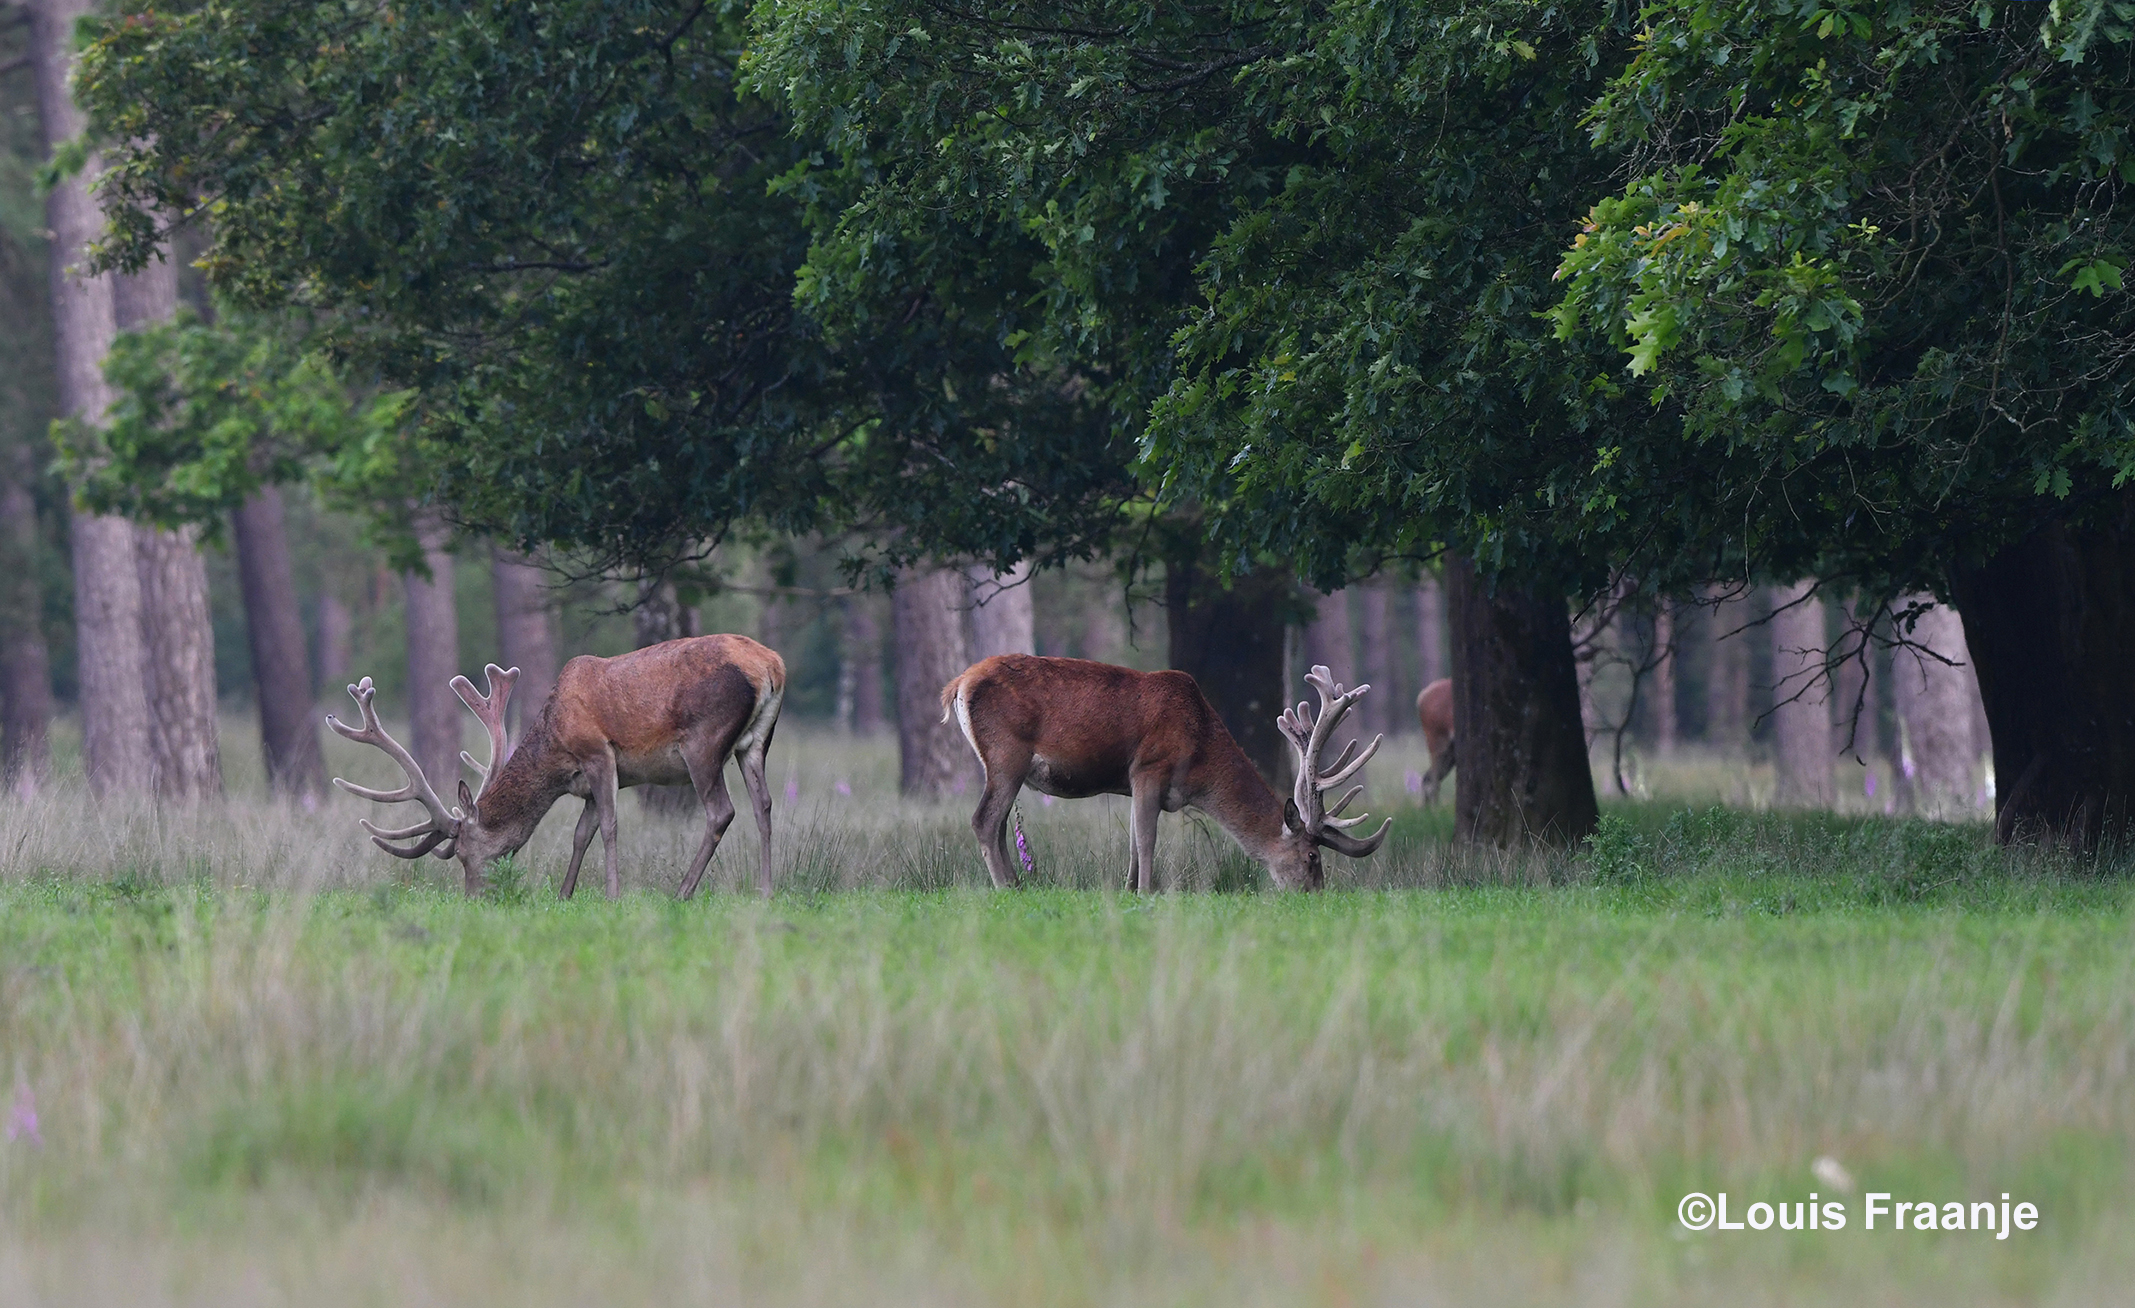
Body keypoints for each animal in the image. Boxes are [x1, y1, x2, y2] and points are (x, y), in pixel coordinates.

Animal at [320, 631, 781, 896]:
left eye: (466, 854)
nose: (473, 899)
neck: (555, 750)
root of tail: (771, 666)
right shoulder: (592, 782)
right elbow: (581, 834)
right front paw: (564, 895)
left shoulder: (598, 754)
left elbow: (609, 828)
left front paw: (612, 896)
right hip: (756, 744)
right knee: (764, 805)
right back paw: (765, 891)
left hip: (703, 743)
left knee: (721, 811)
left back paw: (682, 892)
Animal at [943, 652, 1392, 887]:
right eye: (1312, 856)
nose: (1315, 895)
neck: (1200, 754)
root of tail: (958, 684)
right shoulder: (1149, 767)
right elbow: (1146, 841)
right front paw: (1145, 892)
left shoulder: (1135, 783)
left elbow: (1131, 843)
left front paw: (1128, 889)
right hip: (1007, 755)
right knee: (984, 820)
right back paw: (1009, 887)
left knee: (999, 823)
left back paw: (1018, 883)